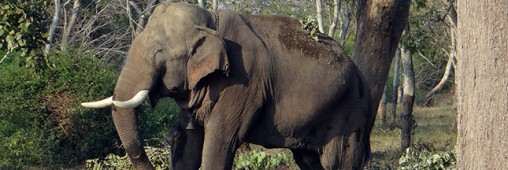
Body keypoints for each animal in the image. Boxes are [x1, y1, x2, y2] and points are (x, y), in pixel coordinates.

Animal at [82, 2, 374, 170]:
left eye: (159, 52)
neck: (212, 21)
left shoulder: (242, 82)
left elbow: (220, 141)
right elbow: (189, 140)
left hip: (351, 115)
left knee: (339, 162)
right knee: (309, 161)